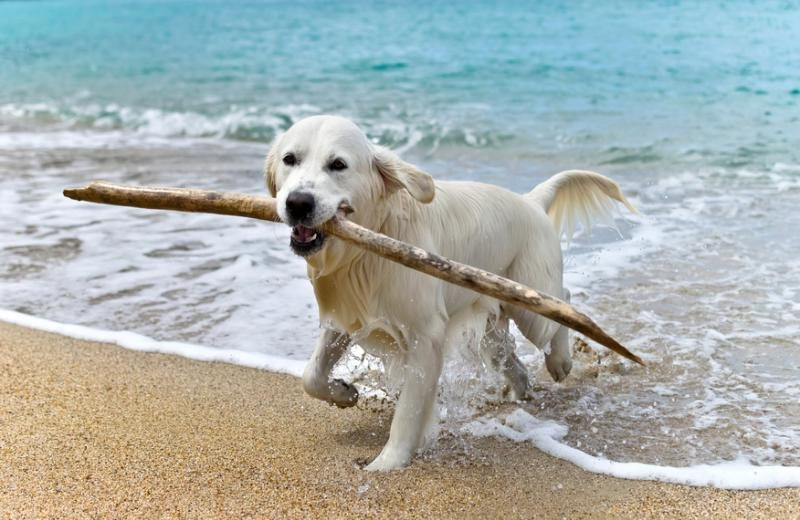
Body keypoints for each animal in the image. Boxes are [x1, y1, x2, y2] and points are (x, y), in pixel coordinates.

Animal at [266, 115, 636, 472]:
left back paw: (560, 360)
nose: (297, 203)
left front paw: (387, 464)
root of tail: (531, 201)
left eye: (338, 164)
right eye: (289, 159)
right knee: (509, 355)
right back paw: (518, 388)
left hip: (530, 304)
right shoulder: (348, 315)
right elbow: (311, 375)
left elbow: (408, 411)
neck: (368, 247)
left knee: (562, 303)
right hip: (493, 321)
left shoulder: (425, 336)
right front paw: (344, 393)